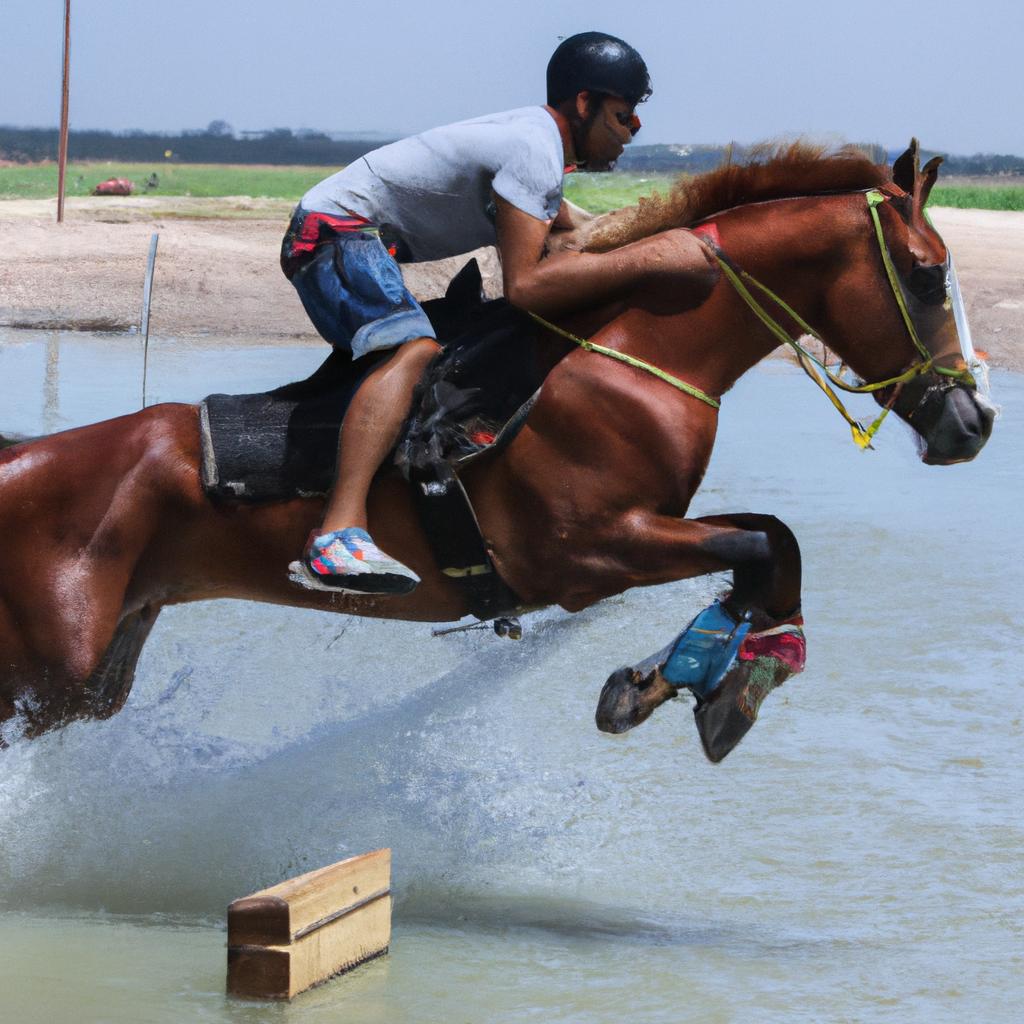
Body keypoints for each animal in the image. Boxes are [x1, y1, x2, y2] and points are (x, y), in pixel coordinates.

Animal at [0, 140, 991, 757]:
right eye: (928, 274)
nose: (973, 422)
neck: (631, 358)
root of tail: (22, 462)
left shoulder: (651, 526)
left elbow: (773, 541)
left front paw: (688, 678)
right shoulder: (588, 553)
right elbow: (756, 545)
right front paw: (708, 681)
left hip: (95, 674)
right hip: (49, 677)